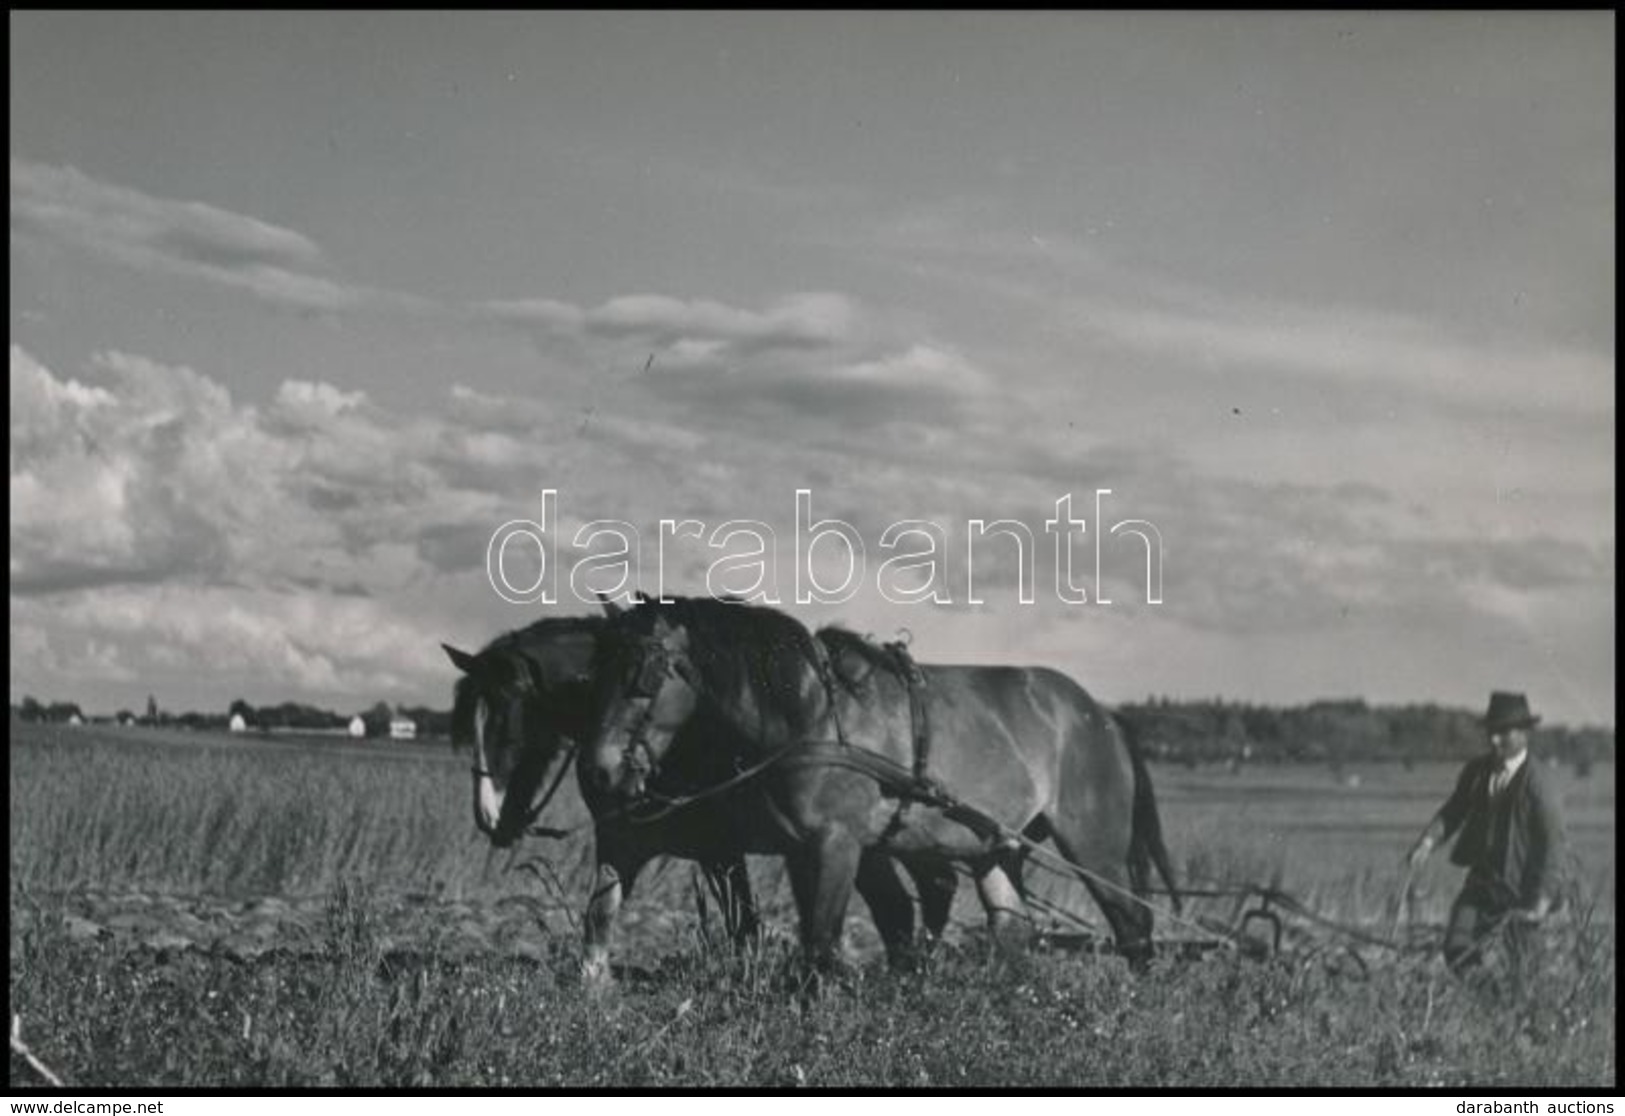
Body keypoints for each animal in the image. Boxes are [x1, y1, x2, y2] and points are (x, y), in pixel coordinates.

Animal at [438, 610, 955, 987]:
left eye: (505, 722)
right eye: (468, 723)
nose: (488, 816)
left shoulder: (720, 851)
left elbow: (745, 926)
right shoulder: (622, 840)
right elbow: (599, 915)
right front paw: (595, 987)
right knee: (909, 900)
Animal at [591, 597, 1176, 974]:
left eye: (646, 674)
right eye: (600, 666)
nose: (599, 769)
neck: (815, 713)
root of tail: (1101, 714)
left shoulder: (839, 844)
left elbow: (822, 944)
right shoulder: (801, 850)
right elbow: (821, 934)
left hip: (1094, 847)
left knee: (1135, 928)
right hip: (995, 845)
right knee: (1013, 930)